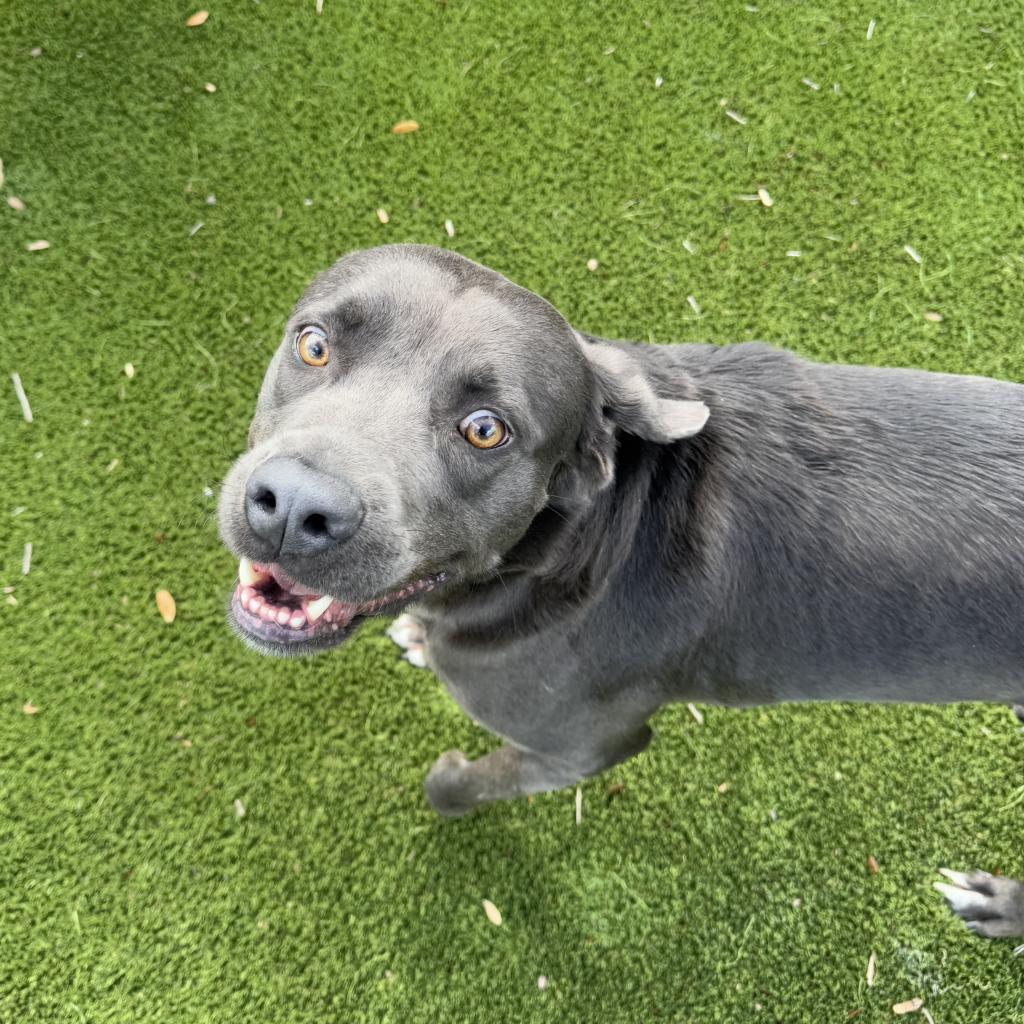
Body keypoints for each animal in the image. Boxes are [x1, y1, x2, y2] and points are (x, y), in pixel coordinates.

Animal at [218, 243, 1024, 946]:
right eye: (314, 345)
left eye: (485, 430)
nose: (293, 507)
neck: (570, 547)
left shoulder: (581, 746)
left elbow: (464, 785)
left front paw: (446, 781)